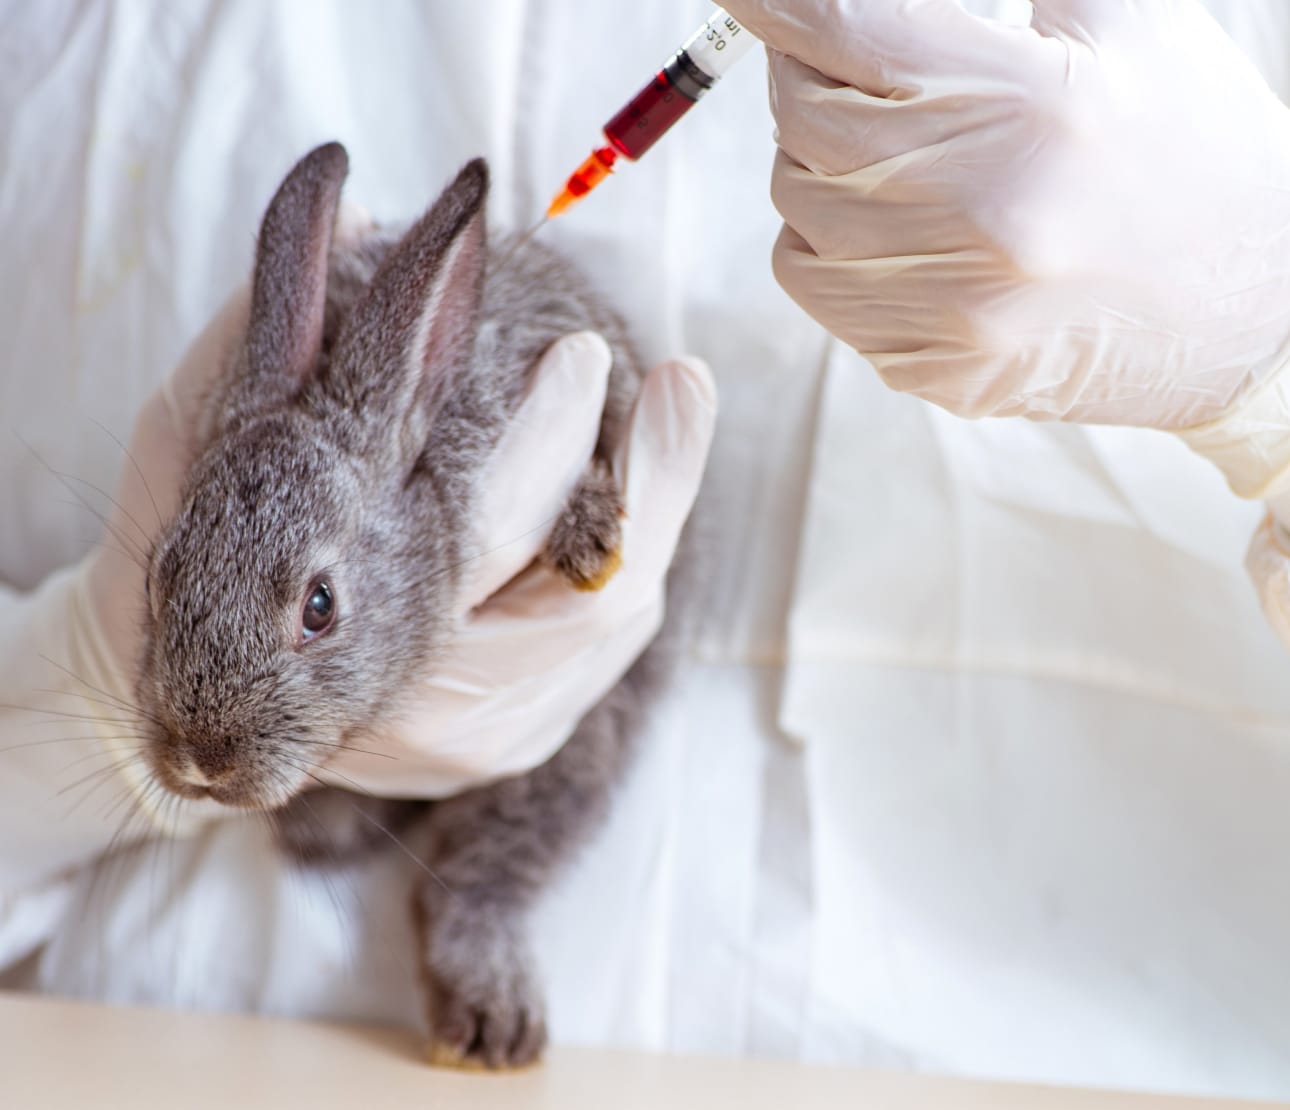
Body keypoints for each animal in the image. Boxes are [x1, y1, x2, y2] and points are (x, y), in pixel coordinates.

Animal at [134, 142, 676, 1069]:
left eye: (319, 606)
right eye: (159, 576)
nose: (201, 761)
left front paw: (588, 538)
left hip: (581, 742)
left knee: (478, 879)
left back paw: (491, 1021)